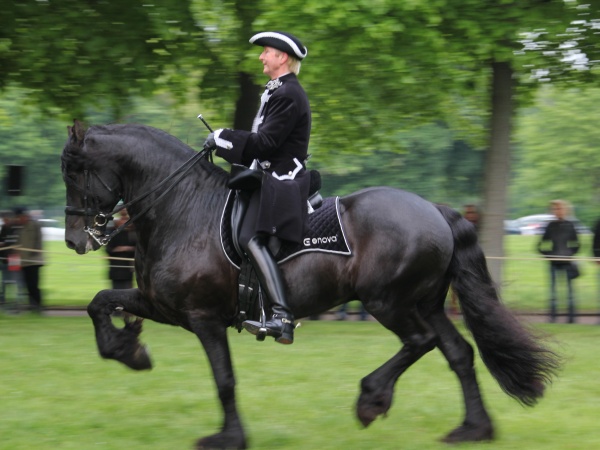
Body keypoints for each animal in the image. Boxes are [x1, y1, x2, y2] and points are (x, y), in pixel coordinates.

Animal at [59, 120, 556, 450]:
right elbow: (99, 303)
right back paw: (473, 429)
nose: (74, 240)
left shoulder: (203, 318)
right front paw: (129, 350)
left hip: (388, 302)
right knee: (458, 353)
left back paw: (372, 399)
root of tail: (436, 209)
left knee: (421, 342)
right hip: (425, 303)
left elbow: (224, 378)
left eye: (75, 172)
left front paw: (230, 437)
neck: (182, 208)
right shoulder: (161, 304)